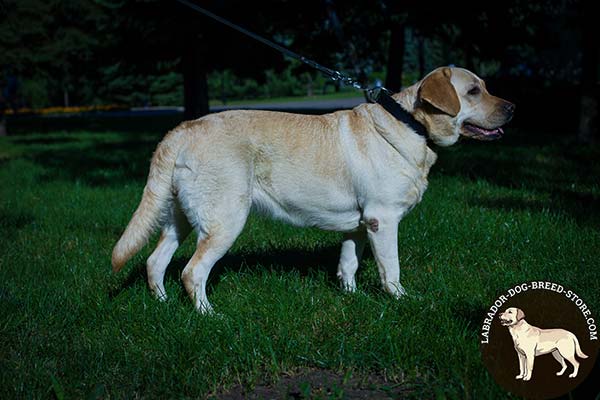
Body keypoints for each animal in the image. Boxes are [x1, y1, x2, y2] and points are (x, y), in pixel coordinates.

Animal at [111, 67, 510, 314]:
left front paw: (351, 297)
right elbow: (391, 269)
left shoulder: (358, 225)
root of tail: (181, 130)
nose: (513, 106)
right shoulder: (382, 219)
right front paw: (400, 300)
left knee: (154, 261)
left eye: (486, 86)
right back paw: (210, 316)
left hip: (180, 217)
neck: (412, 125)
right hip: (225, 220)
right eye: (474, 91)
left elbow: (348, 264)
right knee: (192, 272)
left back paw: (163, 305)